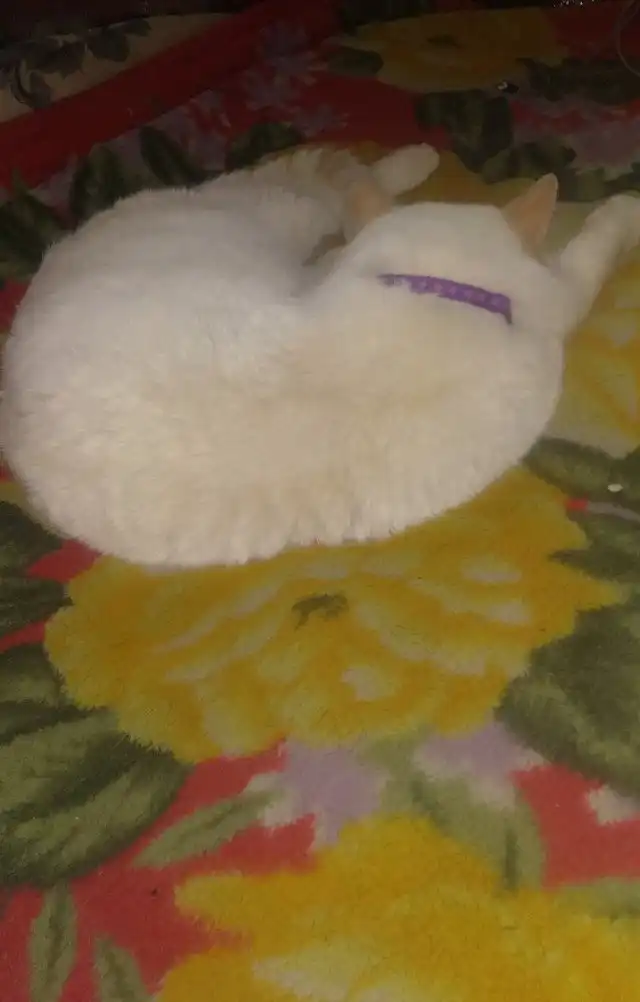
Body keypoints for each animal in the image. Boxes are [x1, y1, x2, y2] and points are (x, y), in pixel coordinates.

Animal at [2, 143, 640, 568]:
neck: (435, 289)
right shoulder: (558, 296)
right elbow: (593, 246)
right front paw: (624, 209)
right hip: (271, 213)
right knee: (304, 178)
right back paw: (412, 159)